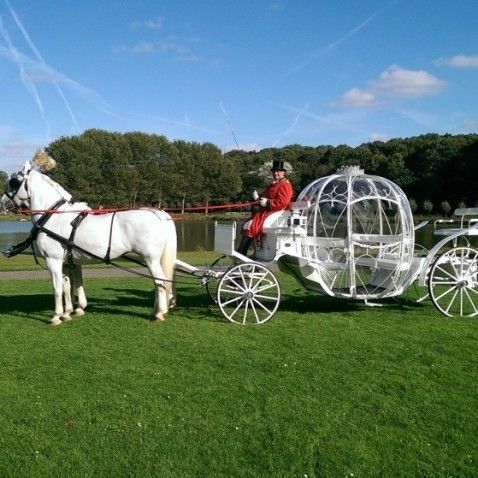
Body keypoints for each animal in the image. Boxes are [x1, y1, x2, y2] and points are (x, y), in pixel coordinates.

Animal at [0, 161, 176, 324]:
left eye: (13, 182)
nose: (2, 202)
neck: (52, 215)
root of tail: (159, 214)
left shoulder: (53, 260)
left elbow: (57, 287)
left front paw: (56, 316)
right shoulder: (66, 262)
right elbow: (67, 286)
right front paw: (68, 313)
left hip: (151, 259)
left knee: (160, 282)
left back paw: (159, 313)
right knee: (158, 283)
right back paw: (156, 311)